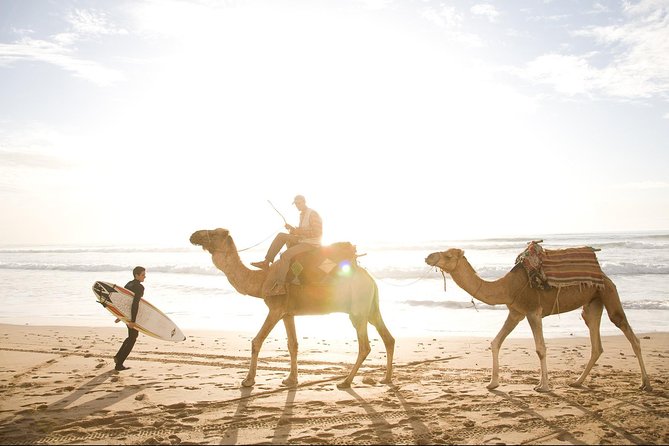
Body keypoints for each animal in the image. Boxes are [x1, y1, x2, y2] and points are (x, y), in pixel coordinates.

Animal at [188, 228, 394, 388]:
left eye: (214, 233)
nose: (193, 235)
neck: (261, 280)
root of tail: (369, 278)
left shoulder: (275, 309)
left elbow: (256, 341)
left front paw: (248, 380)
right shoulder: (288, 313)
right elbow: (292, 344)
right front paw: (291, 380)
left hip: (358, 309)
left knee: (365, 346)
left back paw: (345, 381)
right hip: (371, 308)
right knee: (388, 338)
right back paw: (386, 378)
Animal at [426, 249, 648, 392]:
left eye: (448, 255)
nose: (429, 256)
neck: (507, 287)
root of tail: (604, 275)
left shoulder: (533, 311)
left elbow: (540, 348)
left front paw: (544, 386)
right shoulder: (516, 312)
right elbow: (496, 342)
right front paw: (492, 383)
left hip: (608, 293)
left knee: (629, 333)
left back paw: (645, 383)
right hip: (593, 303)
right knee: (596, 342)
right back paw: (577, 382)